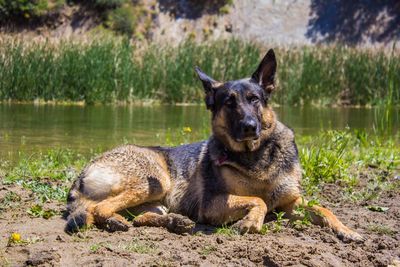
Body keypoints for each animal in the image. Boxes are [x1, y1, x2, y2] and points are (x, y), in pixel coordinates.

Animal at [66, 49, 366, 243]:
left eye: (254, 99)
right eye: (229, 102)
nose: (249, 126)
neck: (255, 157)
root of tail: (85, 170)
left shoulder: (291, 201)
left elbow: (322, 208)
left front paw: (348, 230)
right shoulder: (213, 204)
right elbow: (259, 200)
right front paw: (251, 221)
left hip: (156, 202)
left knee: (139, 217)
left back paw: (174, 222)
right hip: (155, 181)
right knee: (98, 209)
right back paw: (116, 221)